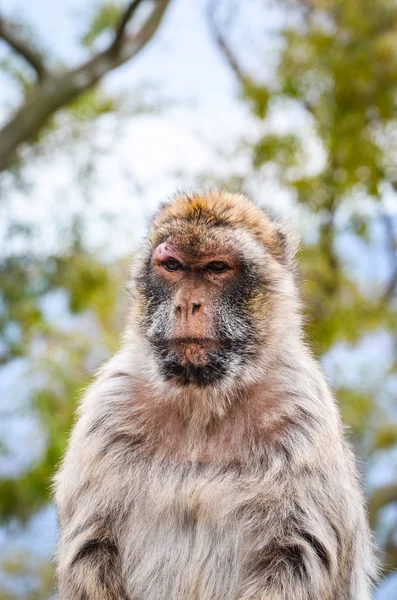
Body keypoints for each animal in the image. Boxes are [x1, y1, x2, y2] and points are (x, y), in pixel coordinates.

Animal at [53, 189, 378, 600]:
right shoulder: (110, 406)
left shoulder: (300, 409)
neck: (202, 402)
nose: (187, 304)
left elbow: (301, 550)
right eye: (172, 265)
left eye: (216, 267)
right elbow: (91, 544)